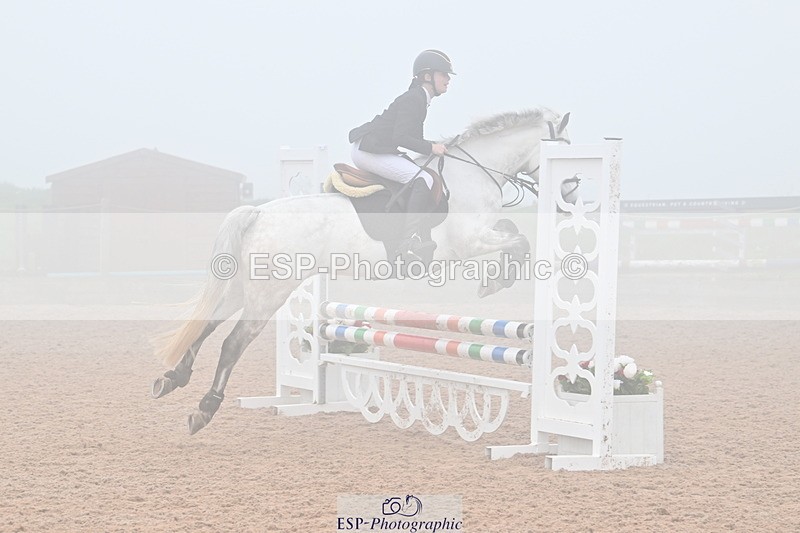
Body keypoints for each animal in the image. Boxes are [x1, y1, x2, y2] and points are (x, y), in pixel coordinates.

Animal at [151, 107, 573, 434]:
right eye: (566, 144)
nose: (569, 195)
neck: (473, 173)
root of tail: (258, 213)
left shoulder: (481, 235)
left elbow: (513, 231)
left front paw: (496, 278)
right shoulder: (470, 242)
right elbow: (519, 241)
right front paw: (496, 281)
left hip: (246, 287)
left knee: (208, 324)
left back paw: (172, 379)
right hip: (270, 292)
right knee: (233, 343)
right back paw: (204, 409)